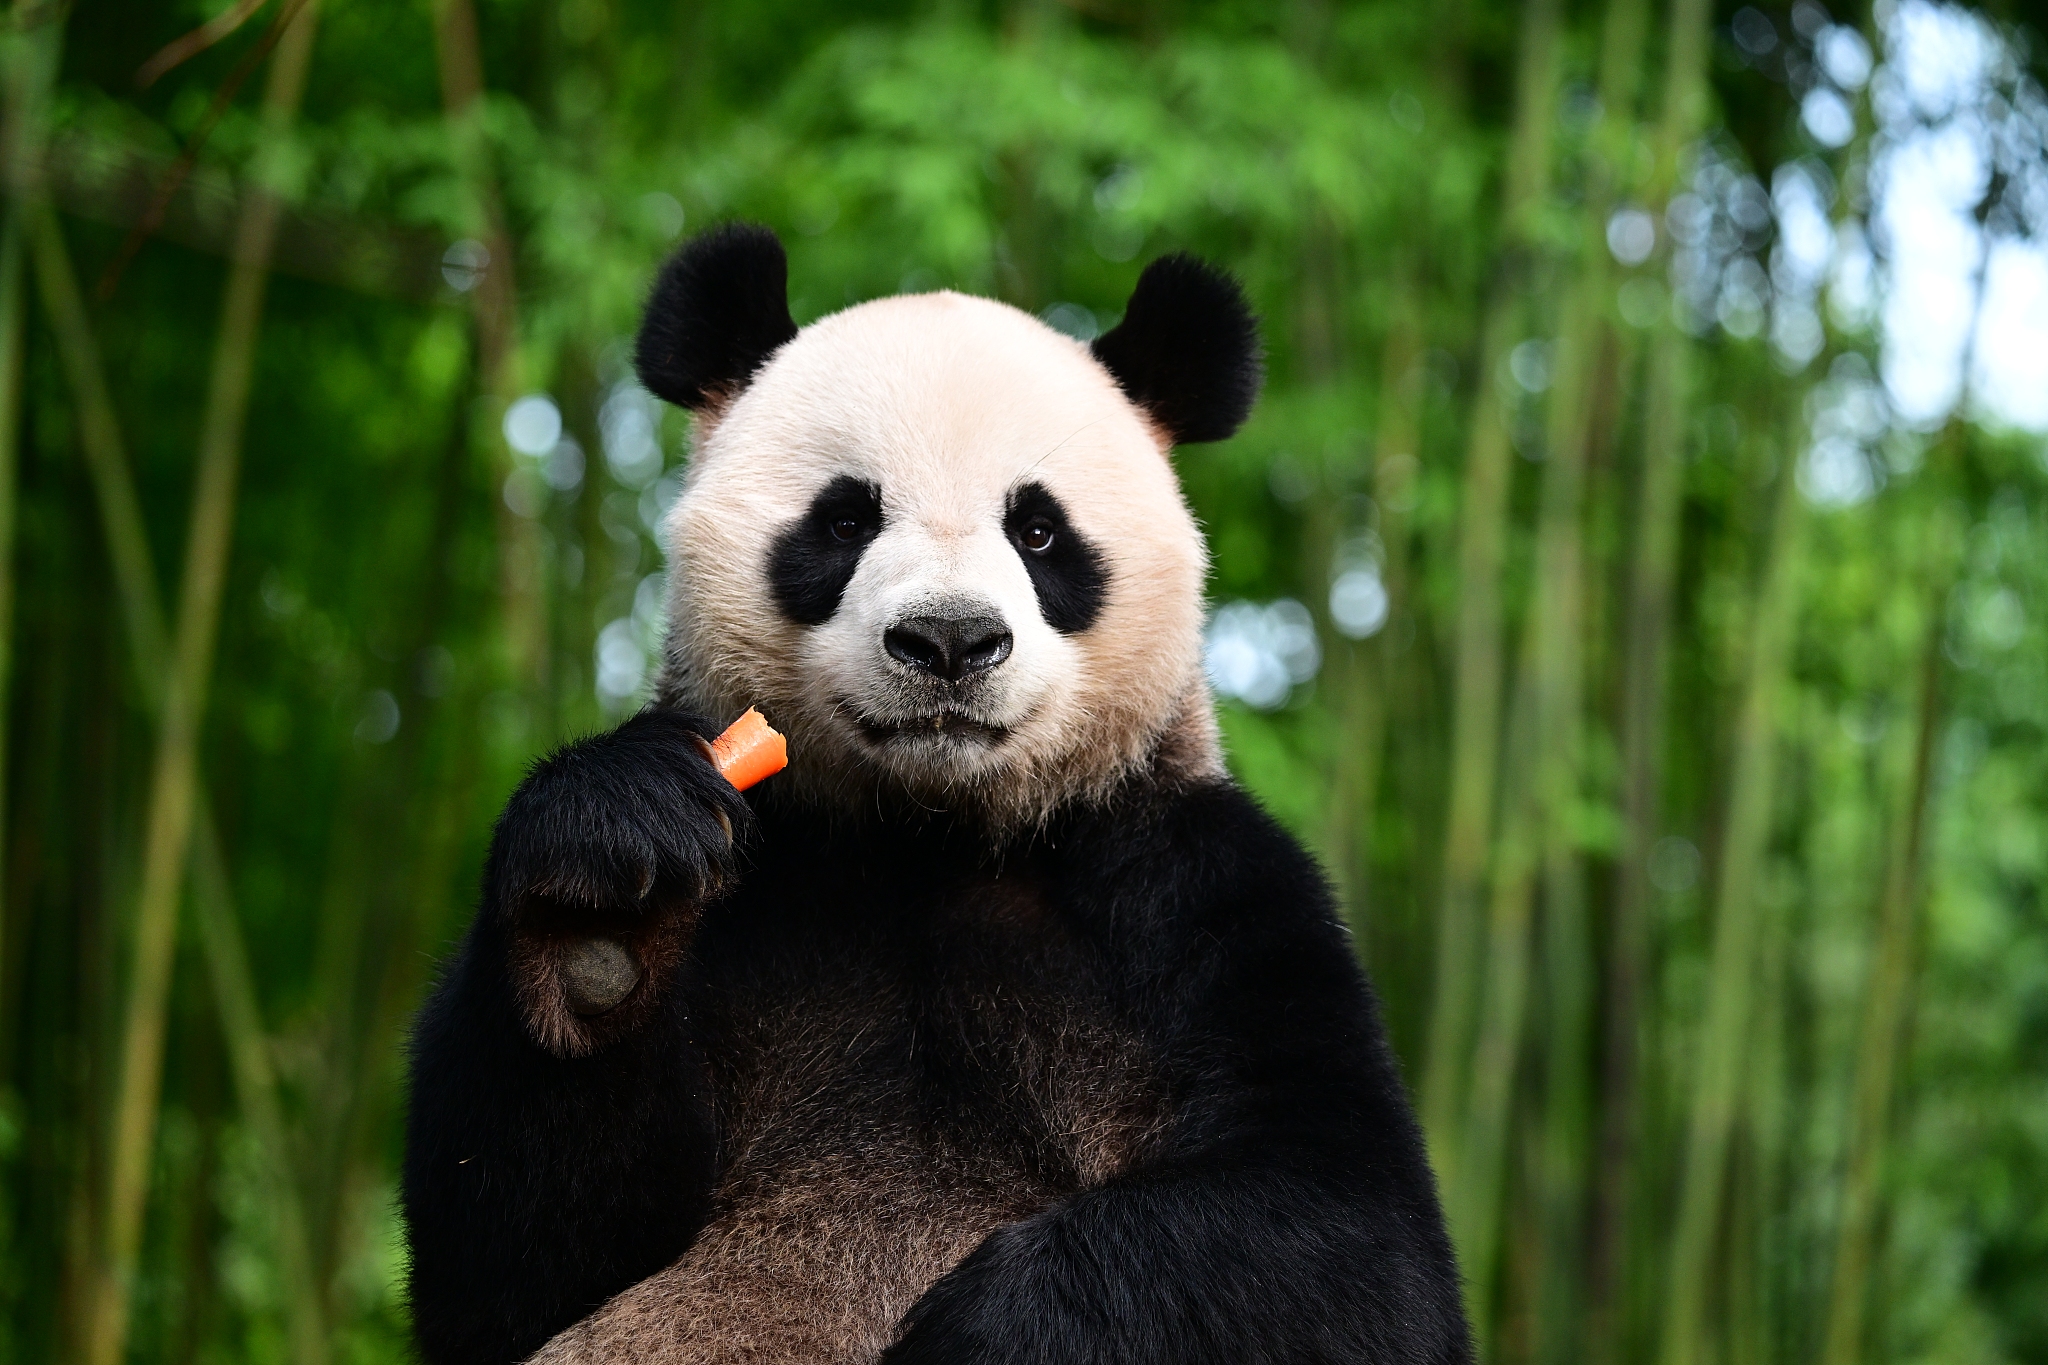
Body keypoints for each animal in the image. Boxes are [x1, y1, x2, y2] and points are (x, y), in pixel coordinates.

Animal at [399, 227, 1466, 1365]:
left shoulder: (1191, 884)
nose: (949, 640)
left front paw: (996, 1325)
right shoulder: (761, 885)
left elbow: (1352, 1241)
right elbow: (517, 1260)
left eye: (1039, 532)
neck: (929, 834)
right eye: (843, 519)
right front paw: (603, 900)